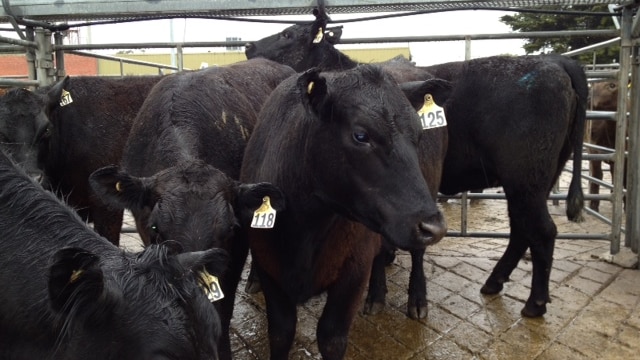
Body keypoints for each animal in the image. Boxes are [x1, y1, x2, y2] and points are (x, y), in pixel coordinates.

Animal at [240, 65, 444, 360]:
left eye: (418, 136)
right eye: (361, 135)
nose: (434, 226)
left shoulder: (353, 272)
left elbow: (331, 338)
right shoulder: (268, 266)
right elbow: (280, 333)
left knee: (417, 254)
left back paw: (417, 299)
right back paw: (376, 296)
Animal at [244, 4, 584, 318]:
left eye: (288, 33)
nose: (248, 47)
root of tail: (556, 61)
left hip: (527, 178)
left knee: (541, 231)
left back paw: (534, 303)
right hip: (533, 182)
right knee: (521, 231)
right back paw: (494, 282)